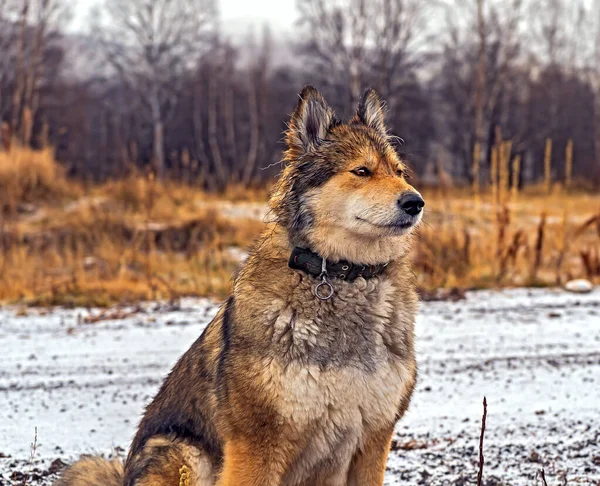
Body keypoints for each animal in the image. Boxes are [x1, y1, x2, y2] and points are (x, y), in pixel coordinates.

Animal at [55, 86, 422, 486]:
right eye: (362, 171)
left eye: (399, 172)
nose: (415, 202)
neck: (341, 276)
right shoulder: (258, 442)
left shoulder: (373, 437)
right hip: (185, 454)